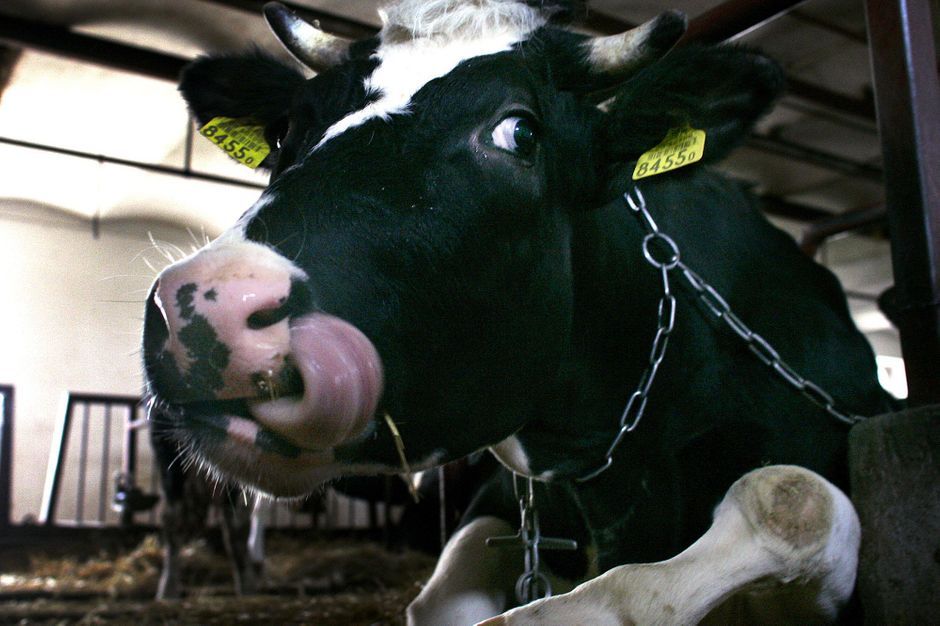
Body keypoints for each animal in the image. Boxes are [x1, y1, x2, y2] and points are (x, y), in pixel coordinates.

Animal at [140, 0, 895, 622]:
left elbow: (783, 504)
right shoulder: (502, 503)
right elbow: (444, 597)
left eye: (520, 133)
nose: (208, 305)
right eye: (287, 130)